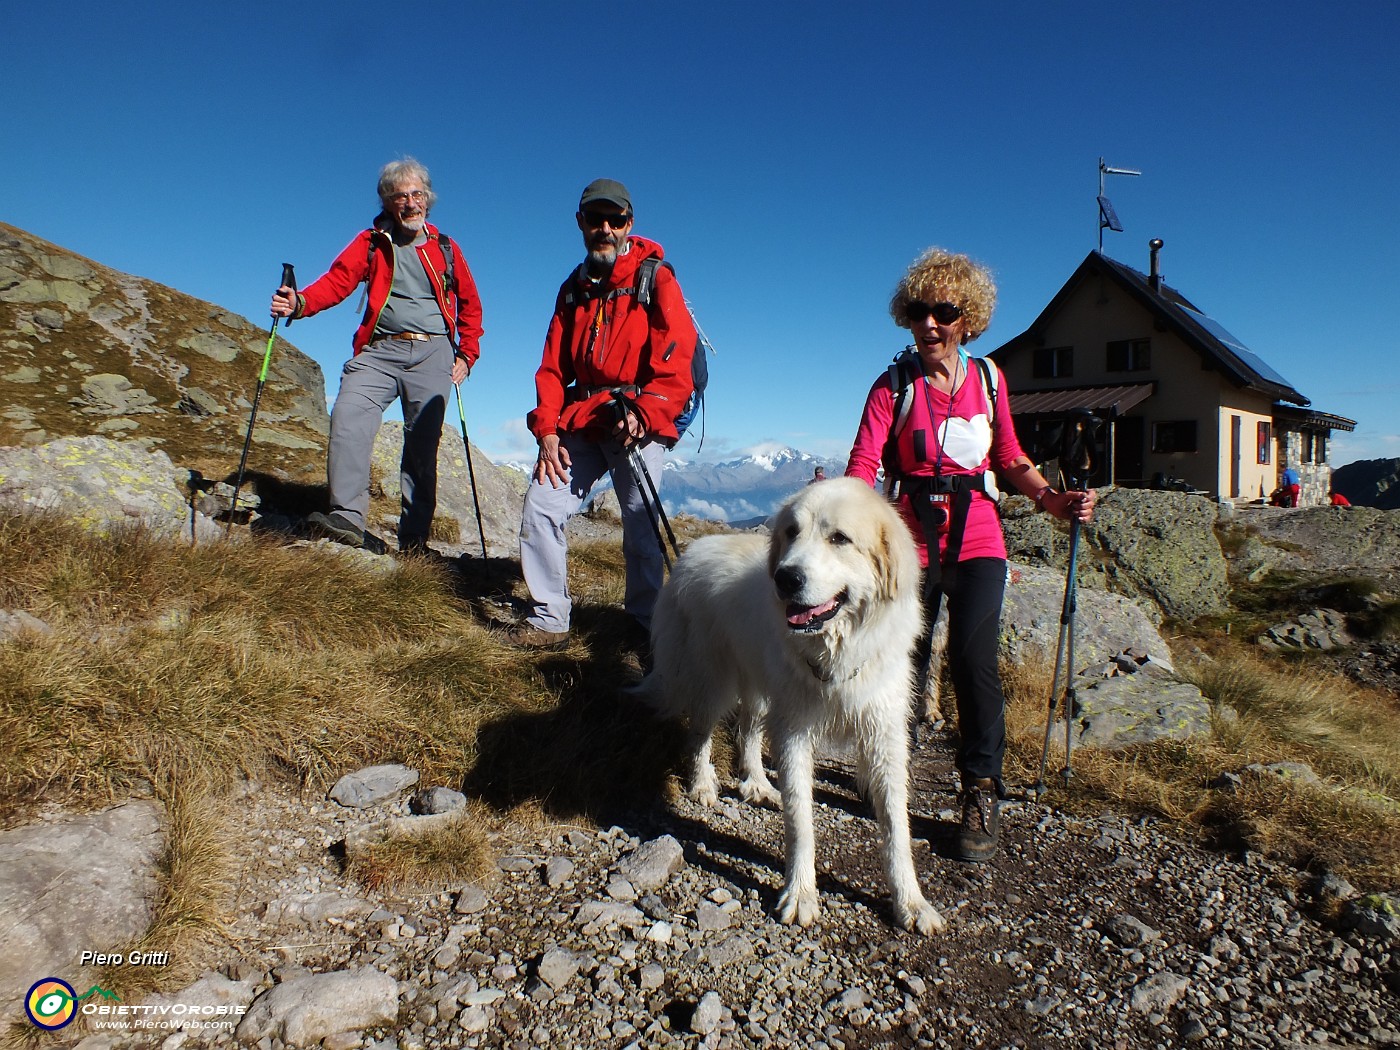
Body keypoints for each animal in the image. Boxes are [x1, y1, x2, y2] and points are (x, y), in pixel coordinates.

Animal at [641, 476, 946, 935]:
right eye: (791, 533)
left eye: (839, 538)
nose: (786, 578)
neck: (839, 649)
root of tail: (689, 554)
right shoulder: (795, 734)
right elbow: (800, 820)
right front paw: (801, 894)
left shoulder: (884, 735)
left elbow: (897, 826)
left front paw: (911, 901)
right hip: (716, 682)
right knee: (700, 733)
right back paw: (703, 785)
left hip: (762, 691)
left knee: (747, 730)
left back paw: (756, 784)